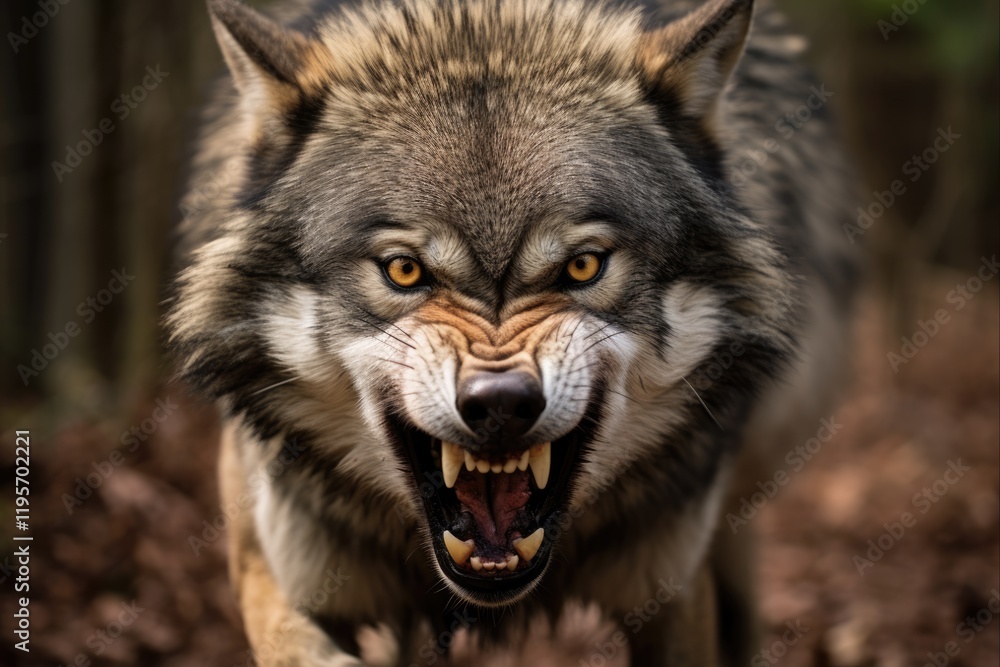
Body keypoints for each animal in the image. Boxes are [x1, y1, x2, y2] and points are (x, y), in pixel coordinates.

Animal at [169, 0, 858, 664]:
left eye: (583, 266)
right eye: (404, 270)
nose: (500, 404)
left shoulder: (673, 596)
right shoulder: (274, 571)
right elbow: (299, 647)